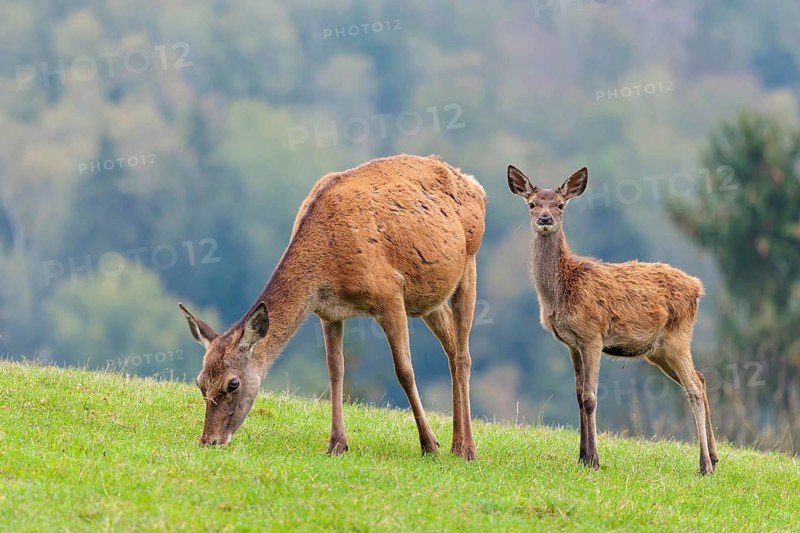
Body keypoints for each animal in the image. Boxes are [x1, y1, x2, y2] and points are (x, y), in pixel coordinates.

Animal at [179, 154, 486, 460]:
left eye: (233, 383)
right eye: (200, 381)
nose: (209, 440)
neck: (329, 266)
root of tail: (475, 186)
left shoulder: (390, 294)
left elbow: (404, 372)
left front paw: (429, 444)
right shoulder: (328, 312)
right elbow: (336, 370)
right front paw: (337, 443)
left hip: (469, 263)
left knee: (463, 354)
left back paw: (467, 448)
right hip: (429, 297)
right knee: (451, 348)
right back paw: (456, 442)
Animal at [507, 164, 719, 475]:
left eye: (560, 205)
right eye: (531, 204)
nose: (545, 219)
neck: (560, 291)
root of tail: (698, 288)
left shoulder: (592, 335)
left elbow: (590, 397)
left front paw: (594, 459)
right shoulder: (572, 343)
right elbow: (578, 395)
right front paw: (582, 456)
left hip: (677, 338)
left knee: (693, 388)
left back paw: (704, 465)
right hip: (658, 351)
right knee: (701, 380)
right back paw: (715, 457)